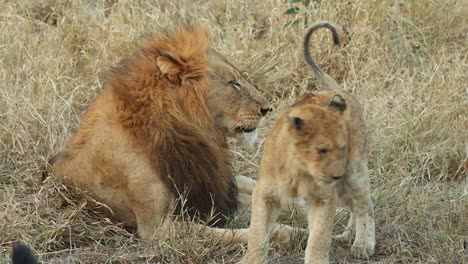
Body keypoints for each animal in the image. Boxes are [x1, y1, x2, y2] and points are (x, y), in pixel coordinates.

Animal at [47, 26, 300, 245]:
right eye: (233, 83)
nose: (267, 109)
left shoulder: (207, 194)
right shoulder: (157, 229)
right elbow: (237, 232)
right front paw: (287, 233)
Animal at [241, 21, 376, 262]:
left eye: (342, 147)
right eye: (322, 150)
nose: (336, 174)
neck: (300, 171)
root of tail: (336, 89)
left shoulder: (324, 197)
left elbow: (319, 238)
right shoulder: (265, 193)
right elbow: (257, 233)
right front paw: (254, 259)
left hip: (354, 172)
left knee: (364, 205)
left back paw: (362, 244)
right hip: (342, 186)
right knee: (353, 205)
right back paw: (346, 235)